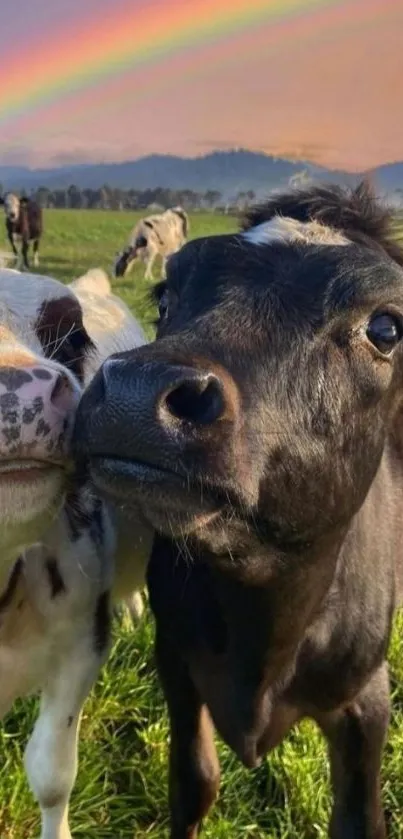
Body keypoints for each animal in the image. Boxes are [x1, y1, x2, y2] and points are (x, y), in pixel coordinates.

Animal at [74, 185, 403, 839]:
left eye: (386, 327)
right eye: (167, 295)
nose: (135, 390)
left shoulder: (366, 699)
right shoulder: (176, 661)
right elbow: (195, 783)